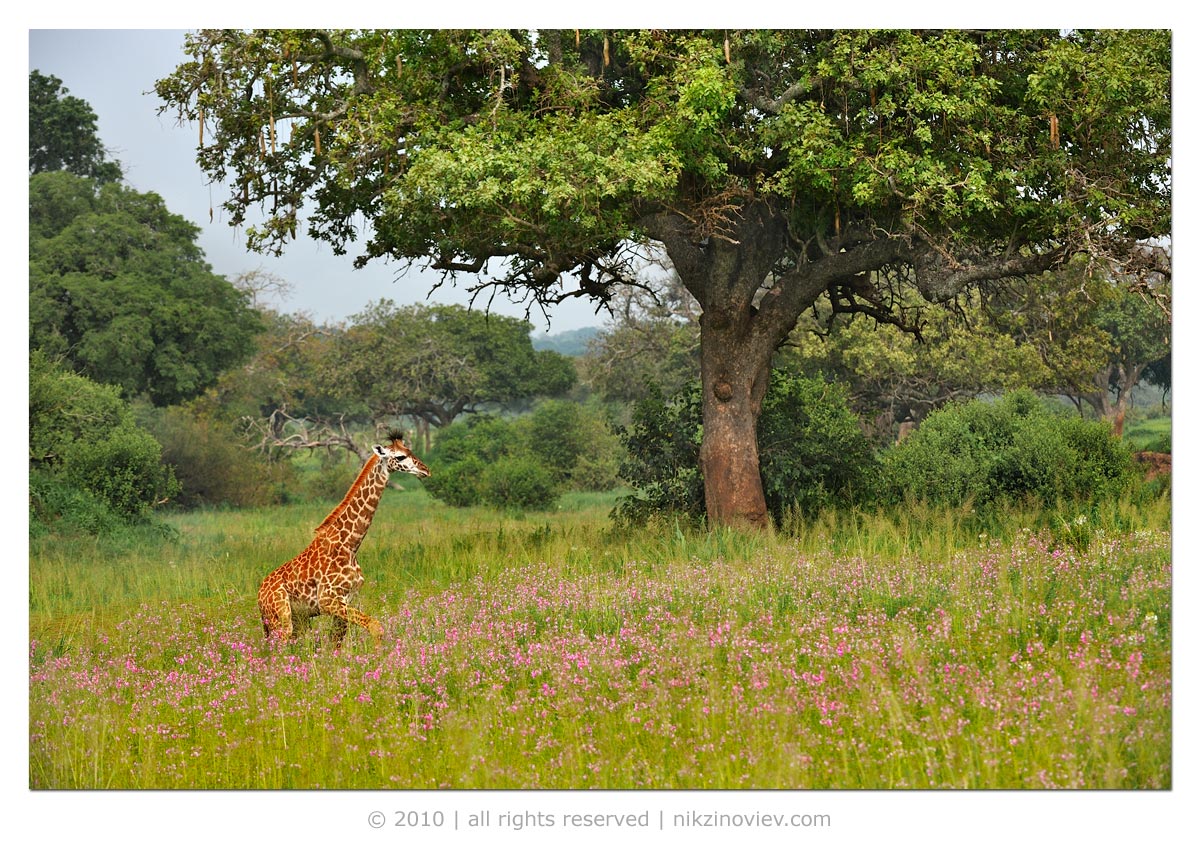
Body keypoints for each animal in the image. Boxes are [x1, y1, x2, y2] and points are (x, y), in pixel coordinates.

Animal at [258, 429, 432, 647]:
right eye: (400, 456)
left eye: (410, 450)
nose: (426, 470)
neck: (350, 544)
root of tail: (259, 596)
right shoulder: (327, 600)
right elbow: (375, 626)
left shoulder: (347, 599)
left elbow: (336, 643)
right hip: (280, 618)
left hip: (298, 620)